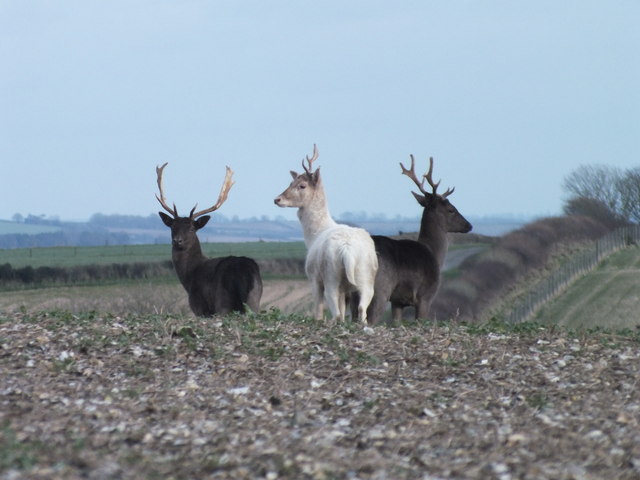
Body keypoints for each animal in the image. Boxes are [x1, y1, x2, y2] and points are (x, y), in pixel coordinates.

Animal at [155, 163, 262, 316]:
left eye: (192, 228)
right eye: (172, 226)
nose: (177, 240)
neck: (189, 277)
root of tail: (244, 273)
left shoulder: (199, 307)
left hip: (223, 302)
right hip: (254, 298)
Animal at [272, 144, 378, 324]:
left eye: (302, 185)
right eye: (291, 181)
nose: (277, 199)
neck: (314, 236)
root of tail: (348, 250)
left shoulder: (313, 277)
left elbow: (318, 312)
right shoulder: (344, 289)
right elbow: (343, 309)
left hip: (330, 275)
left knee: (335, 313)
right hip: (367, 276)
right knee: (361, 310)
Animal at [350, 156, 470, 324]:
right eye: (451, 209)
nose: (469, 225)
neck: (433, 253)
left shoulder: (397, 302)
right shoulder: (426, 296)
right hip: (380, 289)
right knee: (371, 317)